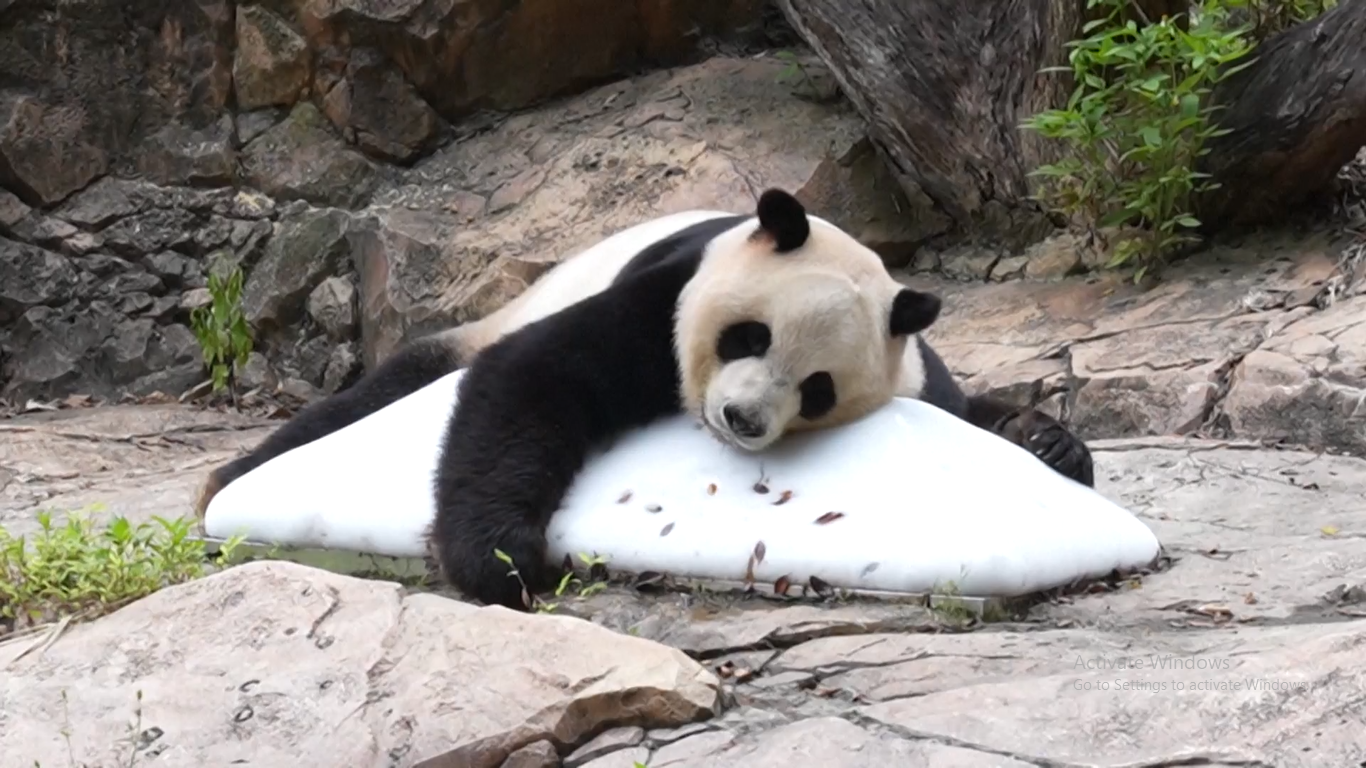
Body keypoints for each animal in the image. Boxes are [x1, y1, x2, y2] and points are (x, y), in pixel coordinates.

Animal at [195, 189, 1093, 609]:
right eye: (748, 338)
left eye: (819, 388)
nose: (741, 419)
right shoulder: (670, 295)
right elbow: (543, 375)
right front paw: (502, 560)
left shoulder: (916, 368)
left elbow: (972, 413)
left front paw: (1050, 443)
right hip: (479, 325)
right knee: (385, 387)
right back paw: (225, 480)